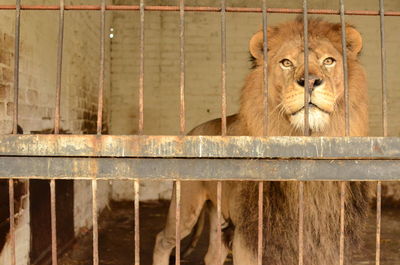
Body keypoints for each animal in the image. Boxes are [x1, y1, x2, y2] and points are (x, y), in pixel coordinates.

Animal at [152, 18, 370, 264]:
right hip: (185, 207)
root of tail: (192, 131)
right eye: (286, 63)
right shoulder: (248, 236)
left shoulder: (326, 236)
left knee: (213, 254)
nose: (310, 81)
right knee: (163, 240)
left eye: (329, 61)